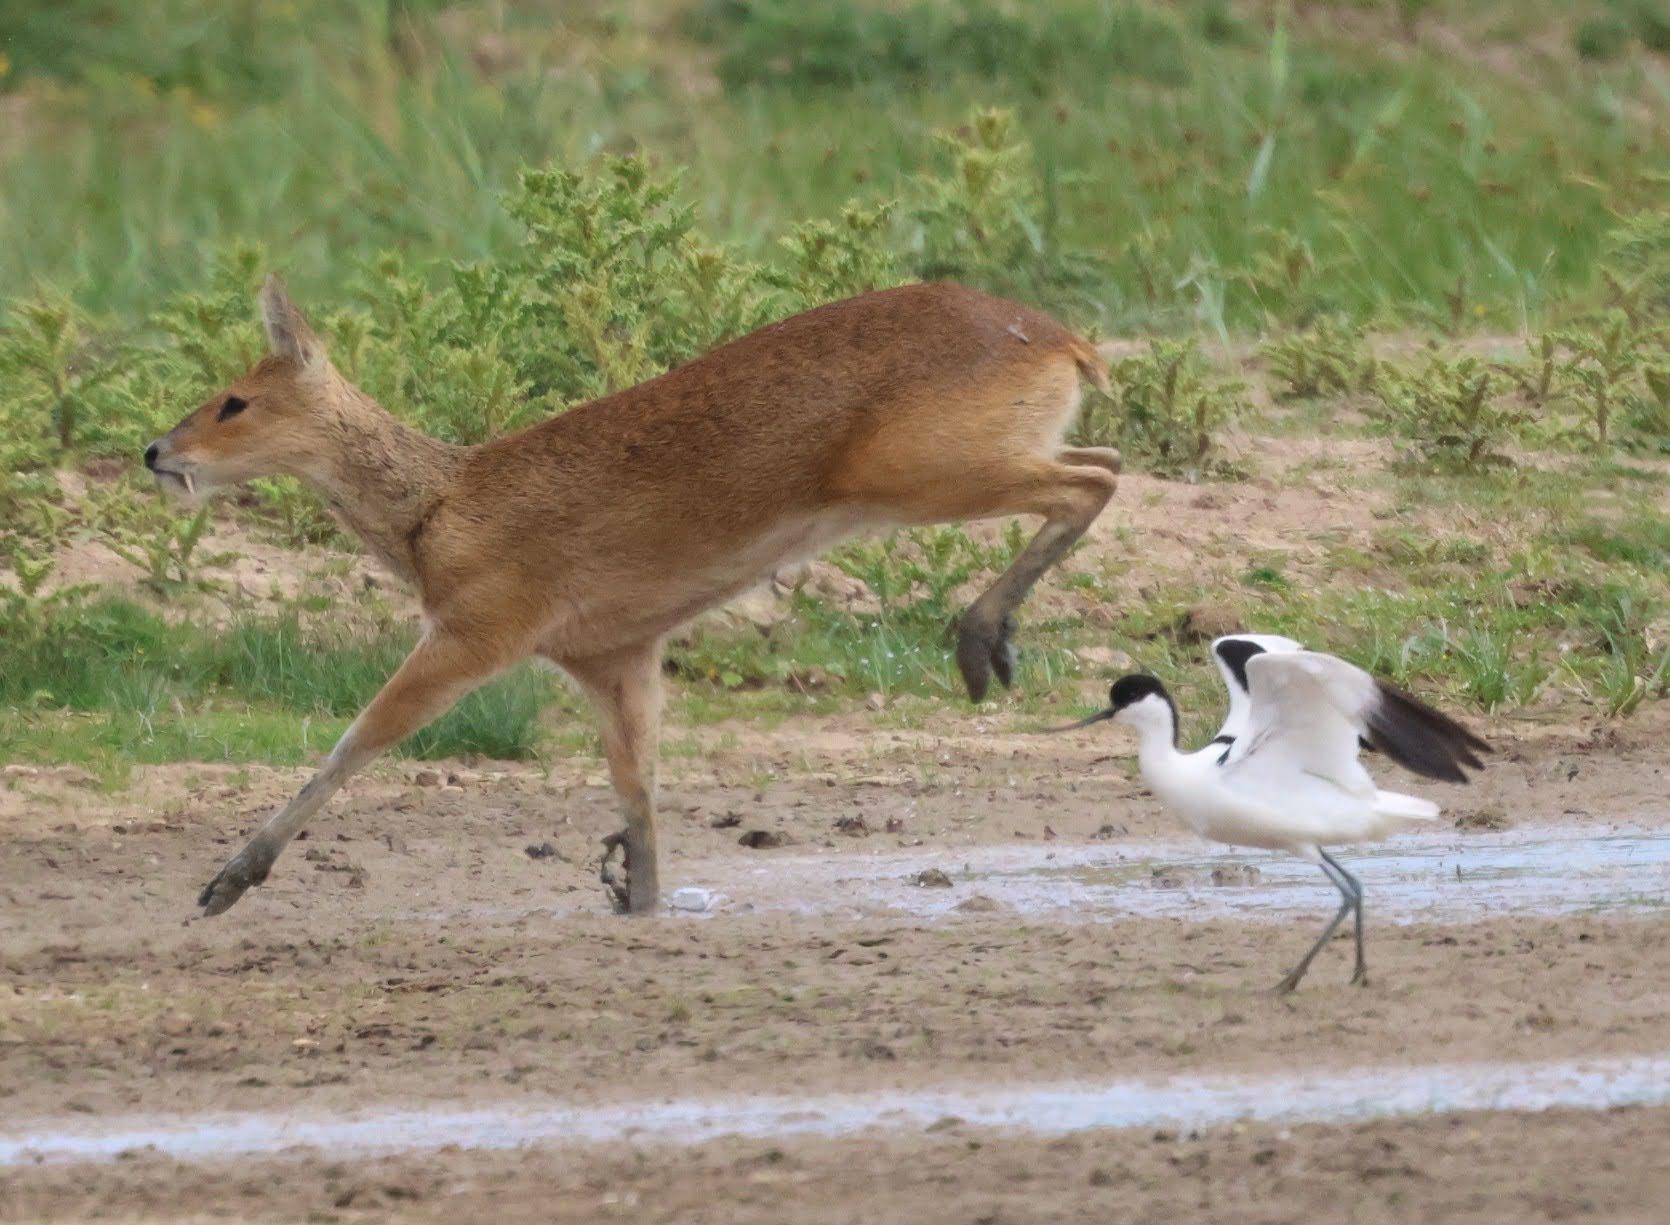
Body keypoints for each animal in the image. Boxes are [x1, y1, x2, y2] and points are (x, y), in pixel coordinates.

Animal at [145, 276, 1119, 917]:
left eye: (234, 400)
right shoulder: (616, 656)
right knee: (1102, 464)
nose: (157, 451)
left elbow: (356, 739)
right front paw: (634, 896)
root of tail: (1067, 342)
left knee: (1092, 479)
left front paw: (228, 880)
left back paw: (982, 641)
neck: (440, 508)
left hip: (924, 474)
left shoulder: (474, 634)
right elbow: (639, 795)